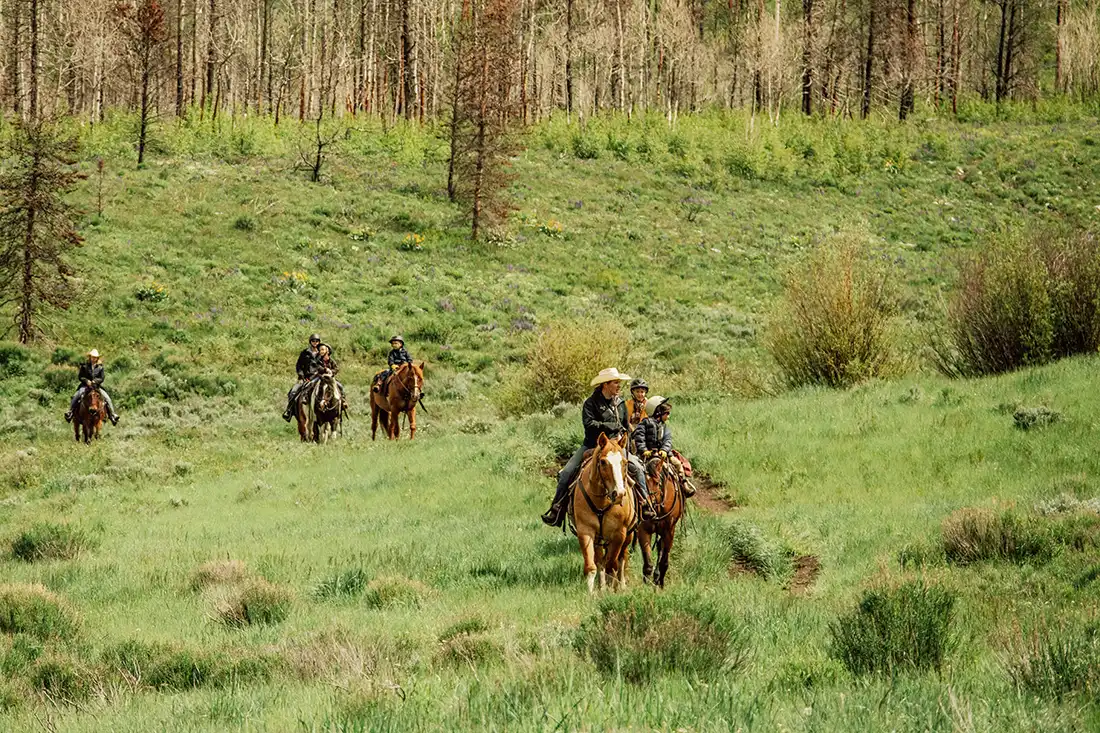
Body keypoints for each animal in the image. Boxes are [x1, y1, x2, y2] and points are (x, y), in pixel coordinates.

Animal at [567, 431, 638, 589]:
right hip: (599, 540)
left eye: (625, 463)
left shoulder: (619, 534)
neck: (601, 502)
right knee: (601, 560)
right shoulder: (586, 531)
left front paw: (613, 588)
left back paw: (621, 585)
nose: (619, 494)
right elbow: (592, 566)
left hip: (628, 535)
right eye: (604, 462)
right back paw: (603, 585)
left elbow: (613, 564)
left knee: (622, 558)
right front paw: (594, 591)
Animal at [638, 453, 677, 585]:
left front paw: (660, 584)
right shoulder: (643, 530)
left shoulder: (669, 532)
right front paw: (646, 583)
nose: (646, 510)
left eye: (656, 482)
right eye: (641, 482)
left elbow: (664, 562)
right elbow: (647, 563)